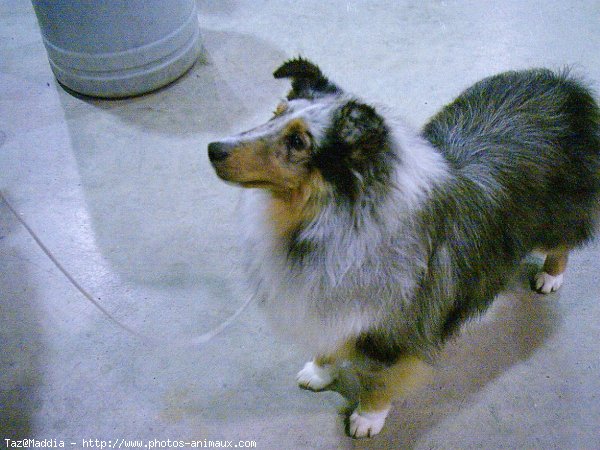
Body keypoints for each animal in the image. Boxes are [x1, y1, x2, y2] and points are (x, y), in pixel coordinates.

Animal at [207, 58, 600, 438]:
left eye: (298, 143)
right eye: (274, 113)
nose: (213, 149)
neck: (329, 218)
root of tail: (565, 85)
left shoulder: (396, 330)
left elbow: (380, 379)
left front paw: (367, 419)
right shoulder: (333, 300)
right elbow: (330, 342)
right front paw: (319, 371)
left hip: (559, 216)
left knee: (564, 242)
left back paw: (550, 277)